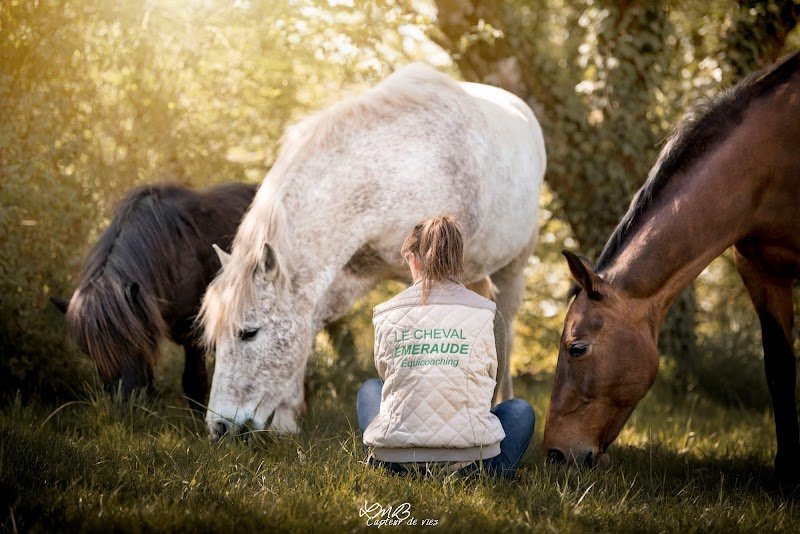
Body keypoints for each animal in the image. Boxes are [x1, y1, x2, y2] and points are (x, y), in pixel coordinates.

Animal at [52, 182, 257, 407]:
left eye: (130, 343)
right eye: (90, 352)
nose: (123, 403)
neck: (173, 252)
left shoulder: (193, 336)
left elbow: (195, 384)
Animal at [199, 63, 547, 439]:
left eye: (249, 333)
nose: (218, 427)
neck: (399, 169)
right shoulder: (344, 275)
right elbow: (309, 327)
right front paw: (287, 420)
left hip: (513, 268)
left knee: (506, 327)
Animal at [543, 51, 800, 487]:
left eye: (576, 348)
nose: (555, 455)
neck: (770, 158)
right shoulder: (759, 269)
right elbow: (780, 366)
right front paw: (788, 472)